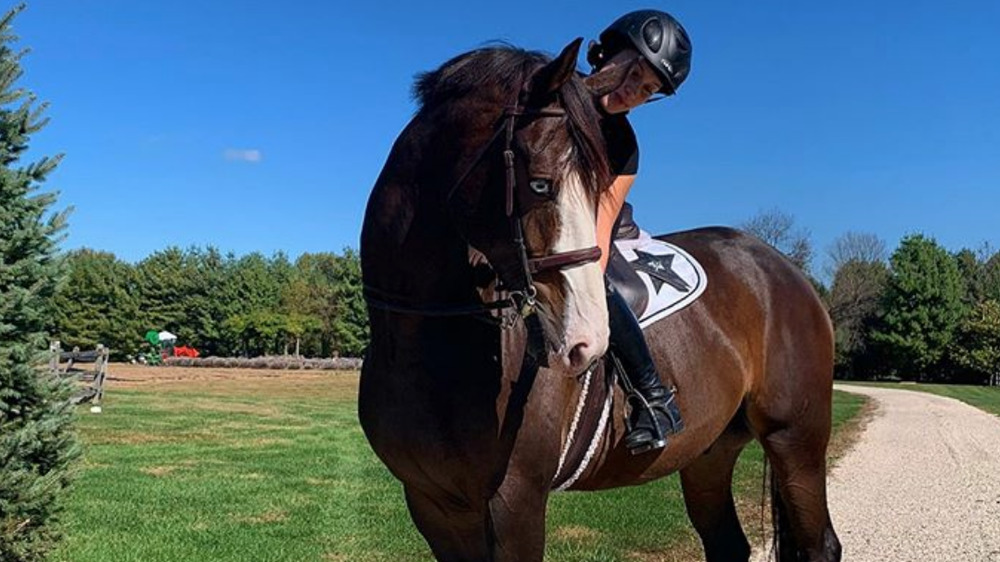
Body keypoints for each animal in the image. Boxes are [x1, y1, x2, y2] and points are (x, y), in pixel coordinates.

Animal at [356, 39, 840, 560]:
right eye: (540, 183)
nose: (586, 343)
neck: (425, 345)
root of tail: (785, 270)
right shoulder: (433, 504)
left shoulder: (515, 499)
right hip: (709, 452)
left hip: (796, 440)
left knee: (820, 544)